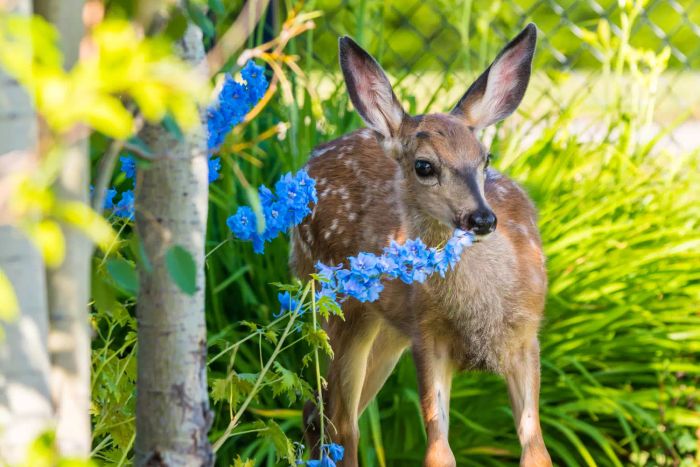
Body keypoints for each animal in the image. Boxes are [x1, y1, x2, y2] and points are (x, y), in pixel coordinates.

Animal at [290, 23, 552, 466]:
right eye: (424, 166)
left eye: (486, 158)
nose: (482, 219)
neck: (482, 313)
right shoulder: (429, 338)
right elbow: (438, 450)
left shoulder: (524, 337)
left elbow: (536, 450)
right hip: (335, 304)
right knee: (342, 423)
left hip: (387, 330)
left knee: (318, 413)